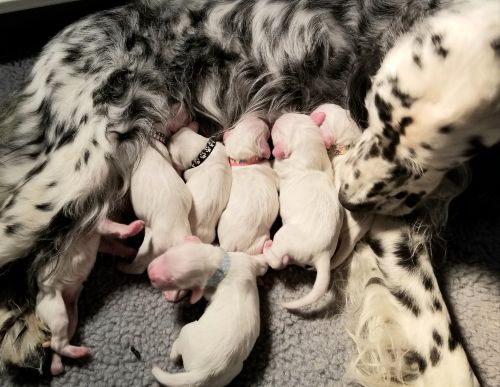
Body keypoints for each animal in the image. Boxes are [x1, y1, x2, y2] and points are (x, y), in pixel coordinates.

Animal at [36, 218, 143, 376]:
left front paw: (131, 252)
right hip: (56, 311)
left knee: (59, 343)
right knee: (56, 344)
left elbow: (114, 246)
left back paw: (57, 365)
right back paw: (79, 352)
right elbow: (110, 225)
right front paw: (132, 228)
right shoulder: (94, 224)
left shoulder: (102, 240)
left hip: (71, 316)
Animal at [146, 239, 268, 387]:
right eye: (167, 253)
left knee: (176, 350)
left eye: (172, 280)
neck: (218, 265)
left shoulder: (206, 290)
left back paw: (173, 351)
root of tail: (202, 373)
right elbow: (262, 265)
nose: (149, 272)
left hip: (188, 331)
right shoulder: (244, 260)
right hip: (232, 373)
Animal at [262, 111, 344, 310]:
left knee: (278, 261)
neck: (310, 150)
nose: (277, 118)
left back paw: (268, 249)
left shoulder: (281, 170)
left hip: (284, 237)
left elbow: (275, 166)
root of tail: (323, 255)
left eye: (277, 132)